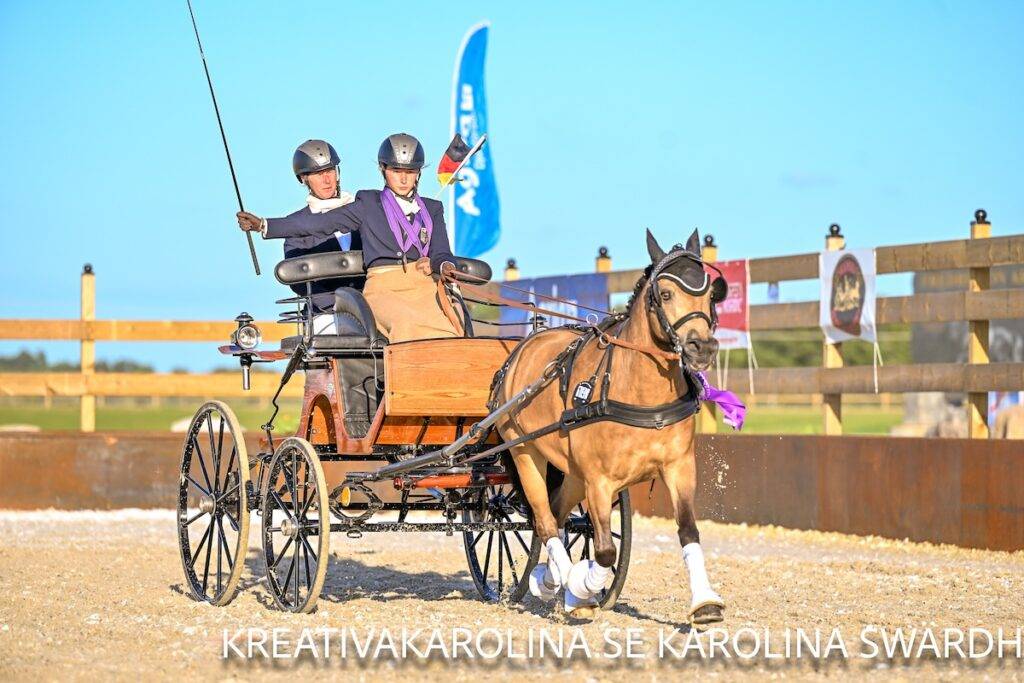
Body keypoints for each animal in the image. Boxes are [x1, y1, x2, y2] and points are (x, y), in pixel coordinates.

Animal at [493, 228, 727, 623]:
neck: (639, 392)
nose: (702, 347)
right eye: (665, 294)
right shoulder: (600, 482)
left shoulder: (679, 467)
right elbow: (603, 551)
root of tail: (522, 349)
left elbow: (688, 530)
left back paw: (547, 580)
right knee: (544, 519)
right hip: (525, 452)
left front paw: (705, 602)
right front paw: (580, 588)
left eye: (711, 294)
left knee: (557, 513)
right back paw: (564, 583)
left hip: (573, 471)